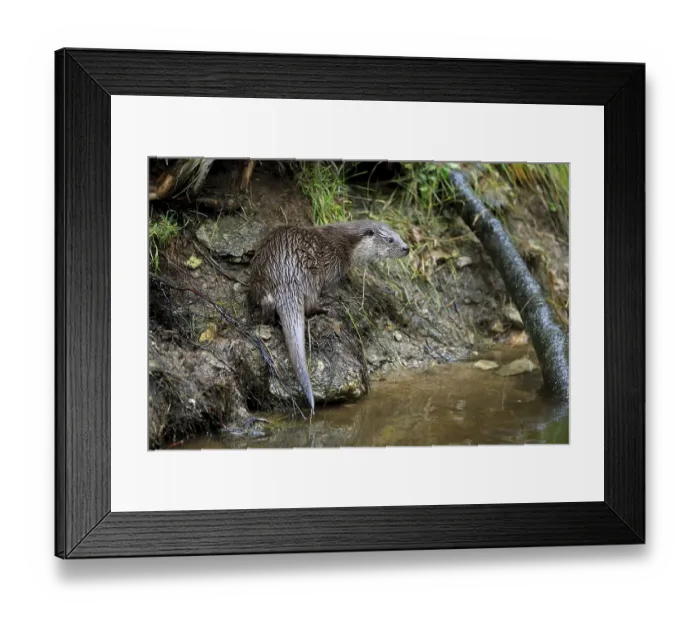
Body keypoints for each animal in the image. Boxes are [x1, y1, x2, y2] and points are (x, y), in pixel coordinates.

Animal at [247, 219, 410, 417]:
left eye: (399, 235)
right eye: (390, 240)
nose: (406, 248)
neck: (345, 245)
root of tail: (286, 274)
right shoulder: (333, 266)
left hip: (260, 276)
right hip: (310, 275)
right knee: (309, 304)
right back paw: (325, 307)